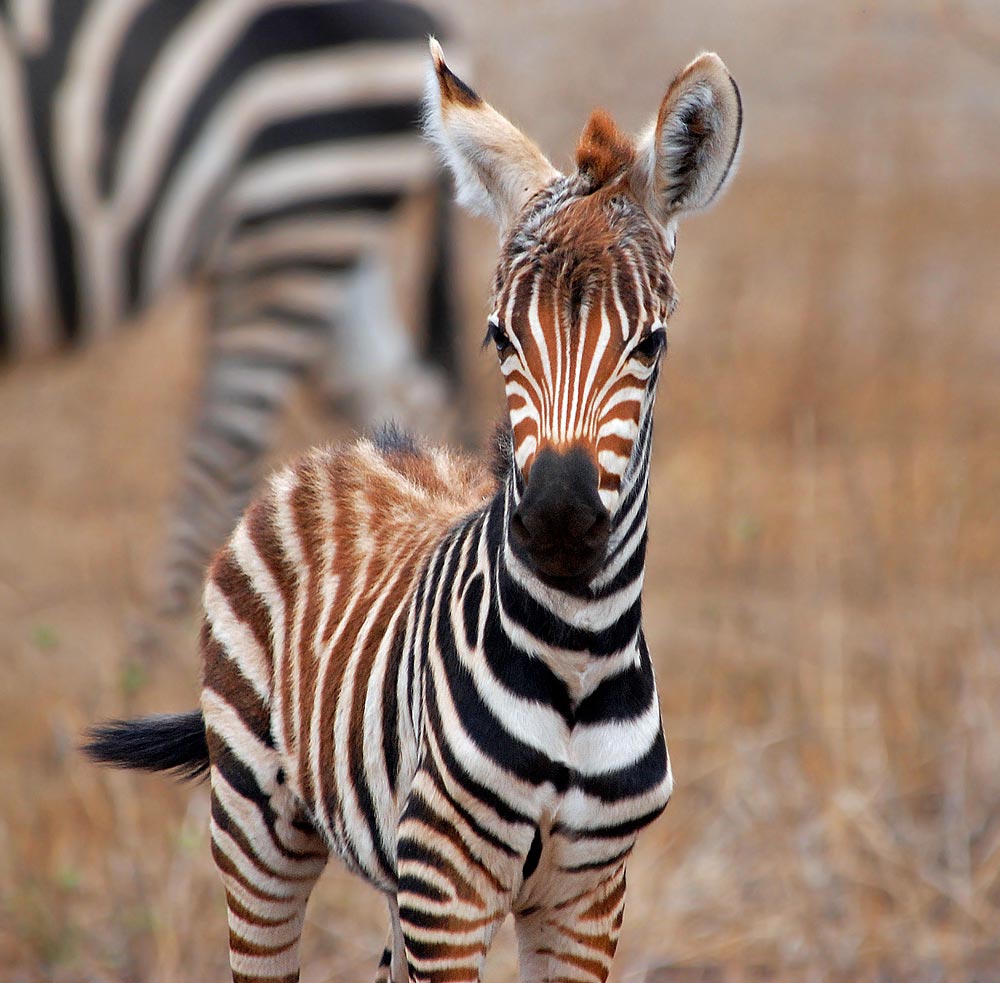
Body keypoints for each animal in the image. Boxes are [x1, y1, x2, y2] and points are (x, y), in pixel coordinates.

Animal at [86, 40, 744, 983]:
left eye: (650, 343)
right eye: (499, 336)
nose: (557, 518)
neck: (577, 658)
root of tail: (364, 447)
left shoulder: (587, 893)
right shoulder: (448, 889)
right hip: (256, 824)